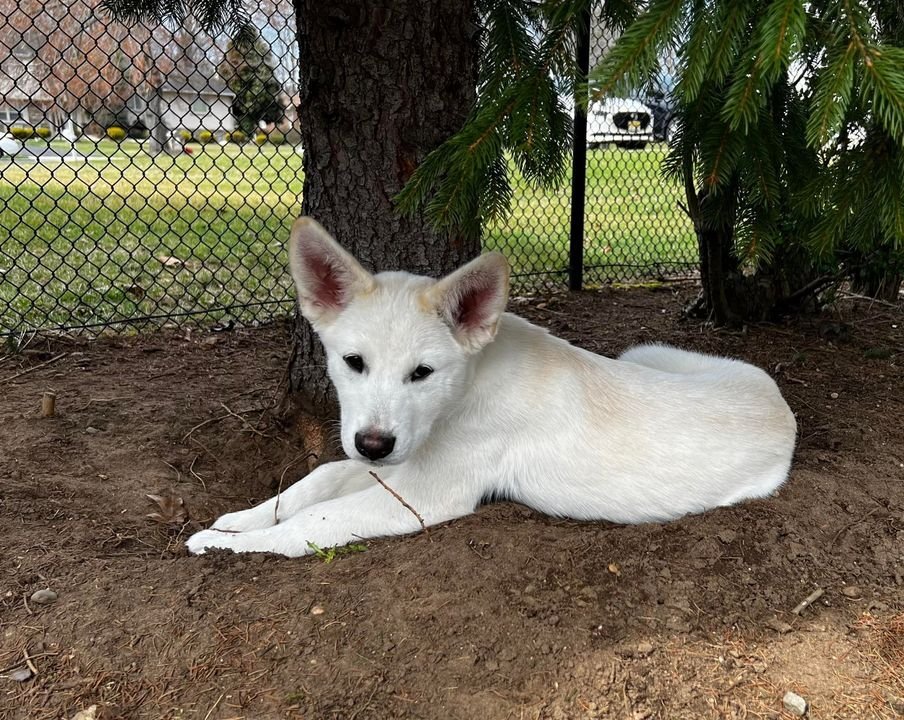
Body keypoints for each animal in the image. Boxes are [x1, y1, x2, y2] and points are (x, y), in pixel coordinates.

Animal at [185, 219, 800, 556]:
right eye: (353, 362)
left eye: (423, 373)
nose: (374, 445)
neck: (467, 390)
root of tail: (780, 402)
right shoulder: (400, 459)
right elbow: (315, 481)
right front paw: (239, 520)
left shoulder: (427, 493)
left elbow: (312, 522)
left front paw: (227, 546)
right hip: (642, 354)